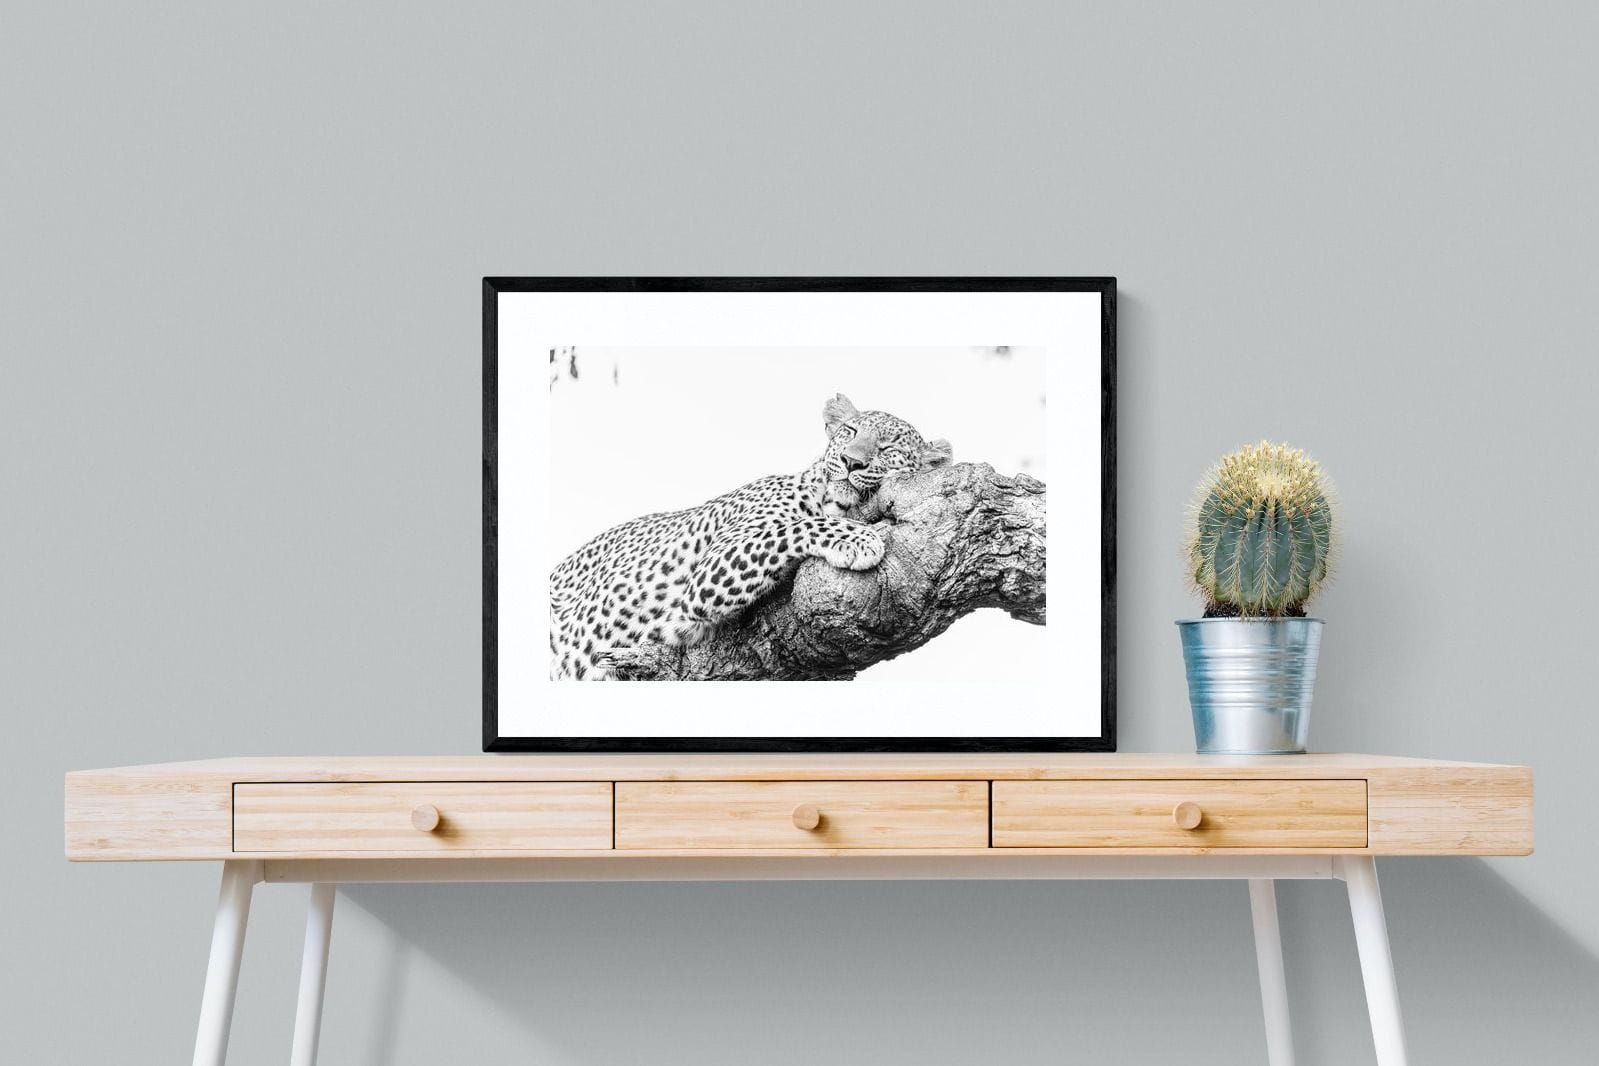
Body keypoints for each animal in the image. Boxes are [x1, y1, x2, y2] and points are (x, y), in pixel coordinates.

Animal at [549, 393, 951, 680]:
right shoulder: (708, 572)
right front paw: (859, 538)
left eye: (889, 448)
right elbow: (792, 527)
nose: (852, 462)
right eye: (850, 432)